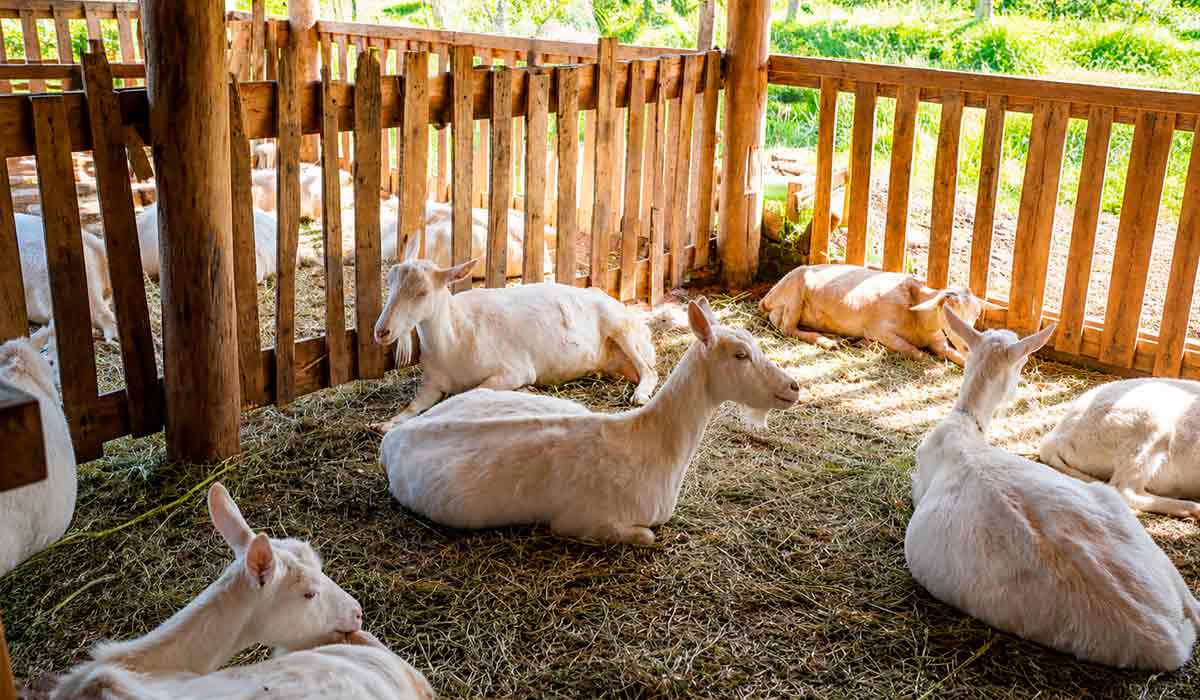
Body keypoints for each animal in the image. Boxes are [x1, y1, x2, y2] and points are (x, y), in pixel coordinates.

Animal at [370, 259, 658, 431]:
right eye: (390, 286)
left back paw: (640, 395)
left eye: (422, 293)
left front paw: (525, 391)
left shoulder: (514, 370)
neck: (455, 337)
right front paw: (385, 424)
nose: (382, 331)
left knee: (650, 371)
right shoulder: (432, 382)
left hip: (620, 326)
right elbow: (413, 405)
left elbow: (473, 392)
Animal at [381, 297, 800, 544]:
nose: (794, 387)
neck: (649, 441)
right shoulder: (583, 521)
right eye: (740, 355)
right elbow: (646, 536)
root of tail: (394, 438)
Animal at [760, 264, 994, 365]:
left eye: (976, 314)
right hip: (795, 293)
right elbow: (915, 352)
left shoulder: (939, 342)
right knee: (787, 328)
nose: (970, 343)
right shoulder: (880, 330)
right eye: (951, 310)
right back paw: (828, 342)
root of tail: (768, 296)